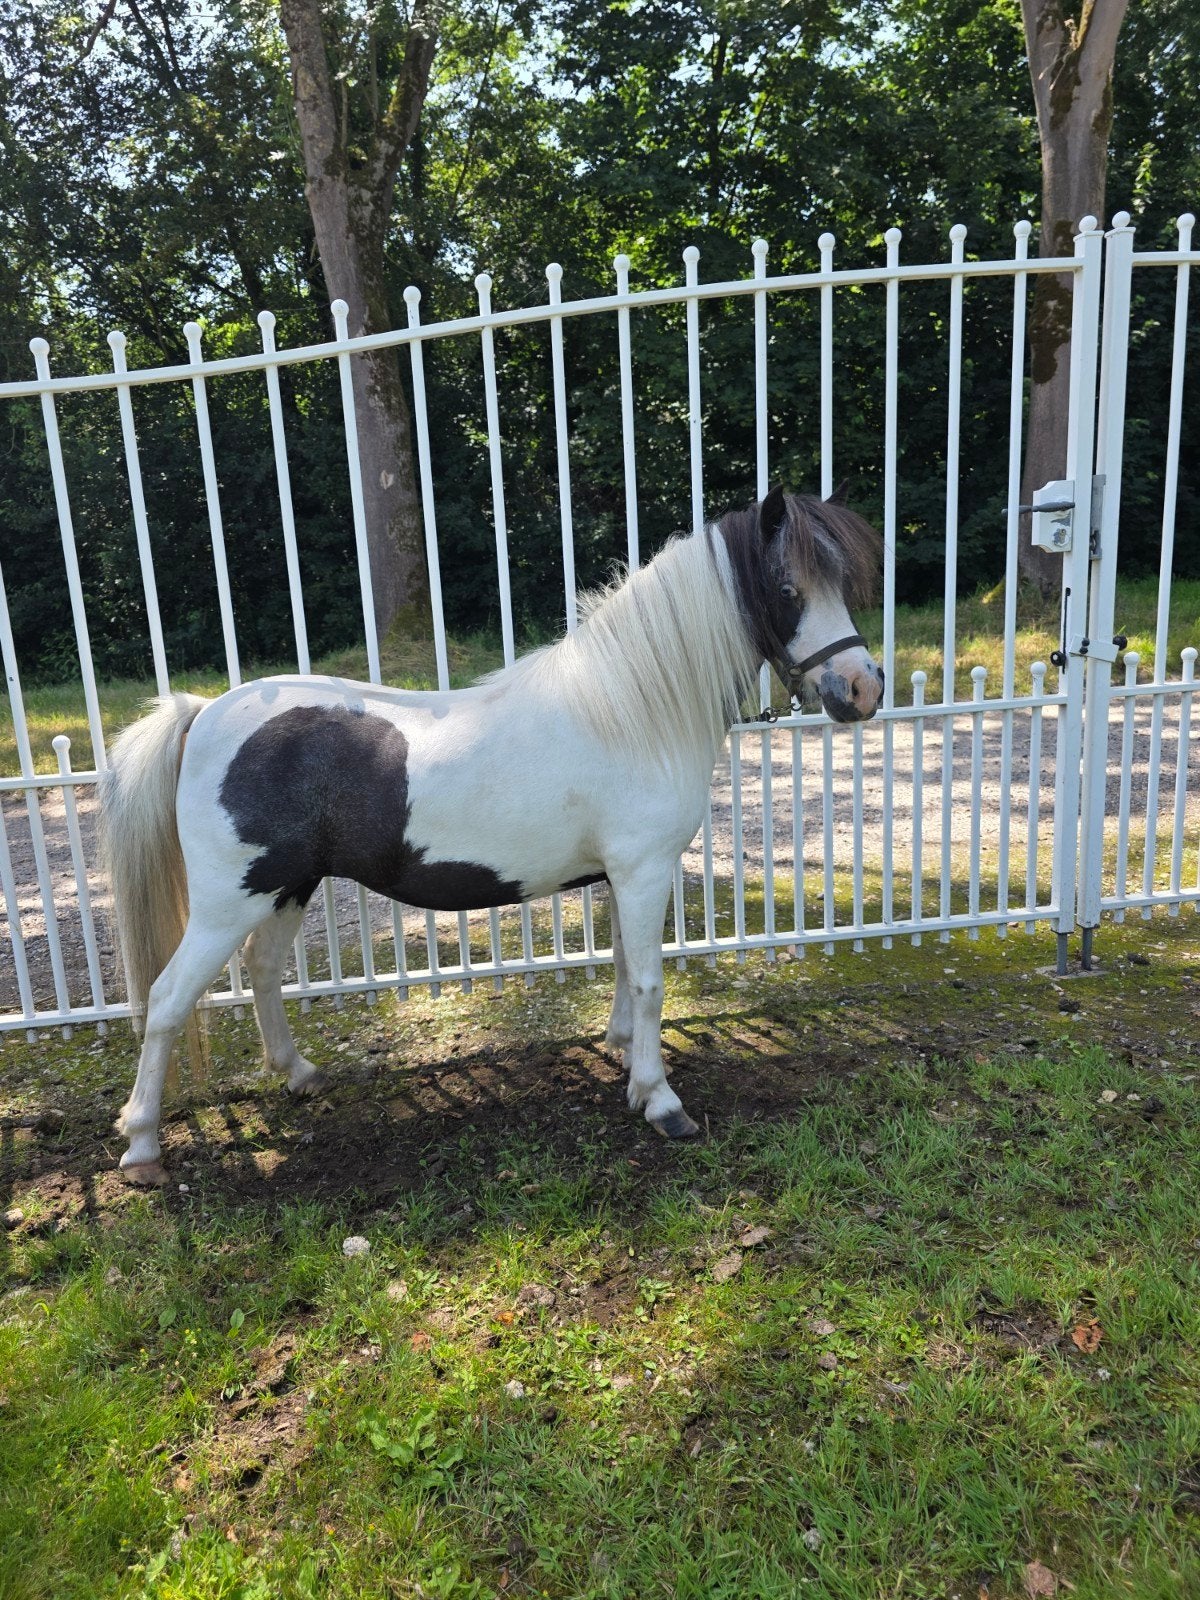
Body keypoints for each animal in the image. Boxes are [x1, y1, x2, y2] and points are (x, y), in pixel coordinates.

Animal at [99, 485, 883, 1185]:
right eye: (786, 587)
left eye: (842, 584)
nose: (863, 688)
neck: (629, 712)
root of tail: (204, 712)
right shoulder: (644, 870)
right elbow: (651, 980)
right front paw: (660, 1100)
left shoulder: (622, 876)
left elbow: (624, 968)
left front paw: (621, 1054)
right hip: (229, 904)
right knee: (167, 1002)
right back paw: (141, 1146)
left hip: (287, 886)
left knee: (262, 971)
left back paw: (298, 1075)